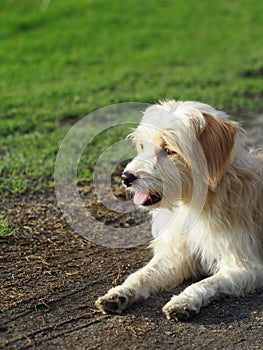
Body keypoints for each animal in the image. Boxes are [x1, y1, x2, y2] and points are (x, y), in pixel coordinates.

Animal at [96, 100, 263, 322]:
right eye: (142, 146)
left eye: (168, 150)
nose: (126, 177)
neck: (194, 203)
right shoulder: (176, 254)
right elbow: (142, 274)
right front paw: (120, 292)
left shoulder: (246, 266)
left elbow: (206, 283)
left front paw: (183, 301)